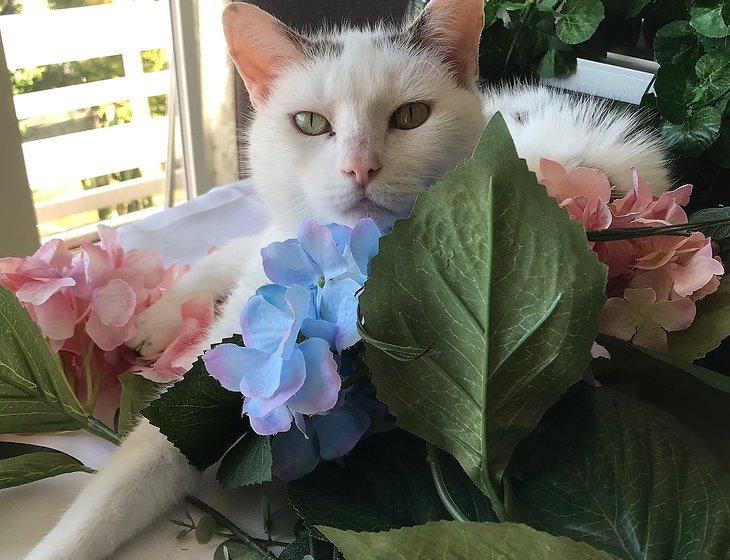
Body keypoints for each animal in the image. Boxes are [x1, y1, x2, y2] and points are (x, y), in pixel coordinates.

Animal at [25, 1, 668, 560]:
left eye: (410, 116)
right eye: (310, 123)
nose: (361, 167)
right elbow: (140, 466)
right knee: (236, 247)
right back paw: (158, 316)